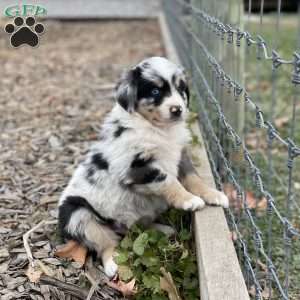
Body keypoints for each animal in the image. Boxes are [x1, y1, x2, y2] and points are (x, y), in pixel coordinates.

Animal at [58, 56, 227, 276]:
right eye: (155, 91)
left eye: (181, 89)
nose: (178, 109)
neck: (158, 129)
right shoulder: (135, 166)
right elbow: (169, 181)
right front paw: (189, 200)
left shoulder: (180, 155)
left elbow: (193, 178)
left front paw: (213, 195)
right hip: (78, 214)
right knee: (106, 242)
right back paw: (112, 264)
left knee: (138, 227)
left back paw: (164, 229)